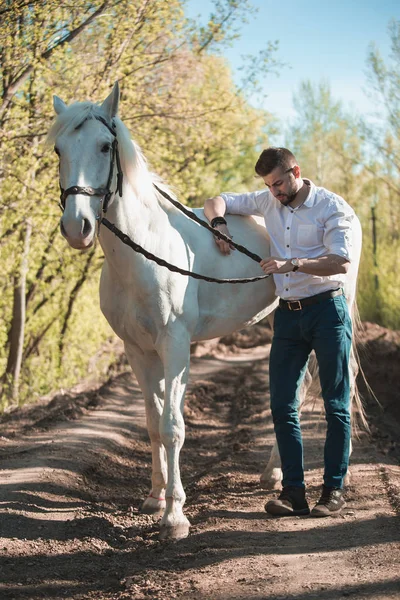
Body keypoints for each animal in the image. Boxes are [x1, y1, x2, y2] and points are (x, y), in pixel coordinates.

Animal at [48, 83, 364, 540]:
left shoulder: (176, 347)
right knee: (297, 388)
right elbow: (151, 423)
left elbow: (173, 426)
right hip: (283, 320)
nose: (77, 228)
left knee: (336, 384)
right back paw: (274, 475)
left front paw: (175, 515)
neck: (147, 251)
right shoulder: (137, 351)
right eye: (58, 149)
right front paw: (154, 498)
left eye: (105, 146)